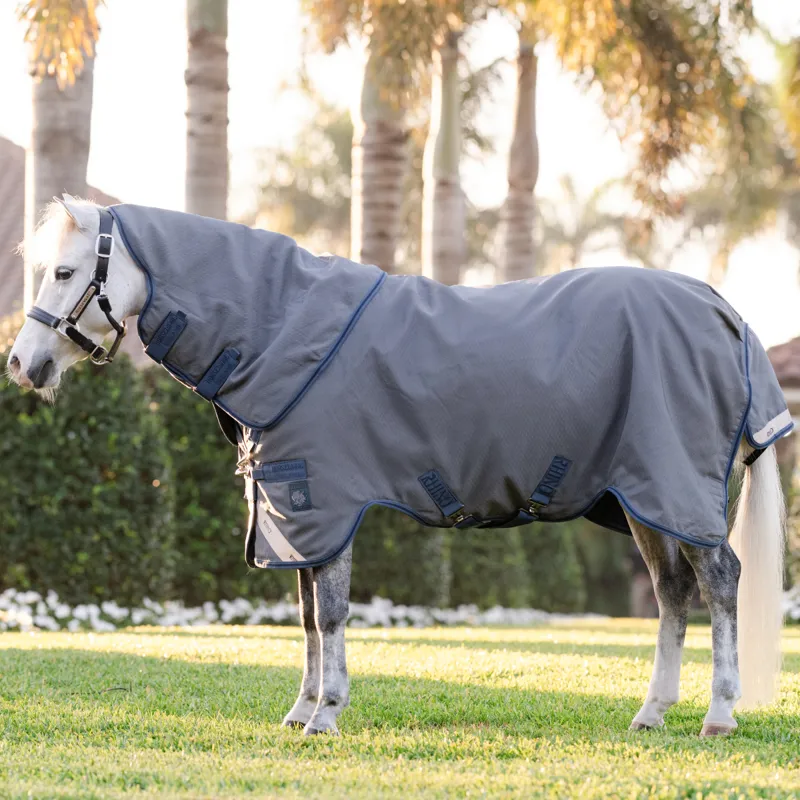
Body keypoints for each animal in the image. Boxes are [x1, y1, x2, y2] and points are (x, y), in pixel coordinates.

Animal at [8, 196, 789, 738]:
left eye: (66, 272)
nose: (21, 363)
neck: (281, 332)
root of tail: (724, 310)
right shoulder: (296, 514)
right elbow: (306, 618)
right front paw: (301, 711)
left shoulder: (323, 502)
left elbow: (329, 613)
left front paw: (326, 714)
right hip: (642, 497)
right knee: (671, 594)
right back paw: (652, 713)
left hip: (676, 486)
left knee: (720, 581)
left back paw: (719, 714)